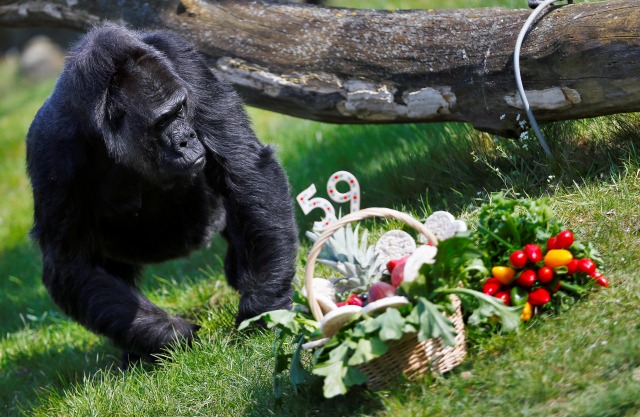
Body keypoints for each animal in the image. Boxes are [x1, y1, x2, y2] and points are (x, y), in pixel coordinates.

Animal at [26, 23, 300, 360]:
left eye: (180, 109)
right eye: (163, 121)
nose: (187, 139)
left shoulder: (183, 61)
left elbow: (245, 166)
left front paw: (264, 303)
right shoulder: (50, 152)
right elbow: (70, 264)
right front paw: (171, 334)